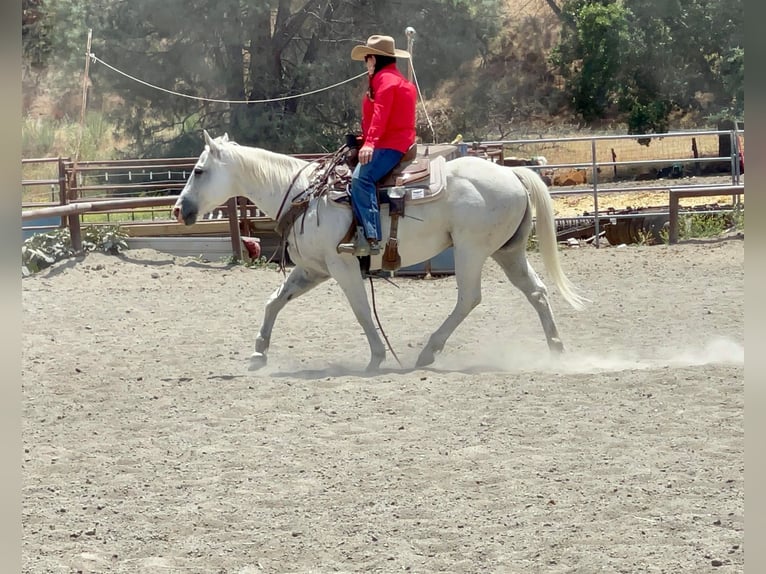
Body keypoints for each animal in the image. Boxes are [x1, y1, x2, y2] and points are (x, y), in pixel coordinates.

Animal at [174, 132, 588, 374]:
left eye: (198, 170)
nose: (179, 210)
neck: (304, 196)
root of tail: (512, 174)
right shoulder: (312, 269)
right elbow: (274, 301)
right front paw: (259, 353)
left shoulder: (341, 265)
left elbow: (360, 309)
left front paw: (376, 356)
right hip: (508, 252)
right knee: (536, 292)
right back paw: (556, 350)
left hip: (471, 250)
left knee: (469, 297)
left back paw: (428, 351)